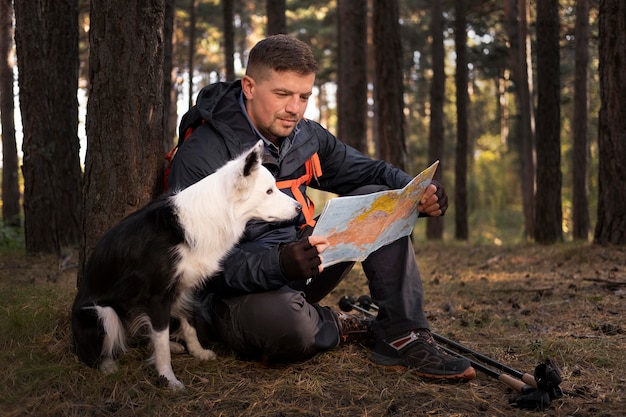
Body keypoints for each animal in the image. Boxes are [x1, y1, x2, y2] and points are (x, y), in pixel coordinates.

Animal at [70, 141, 300, 388]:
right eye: (269, 191)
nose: (299, 208)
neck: (213, 212)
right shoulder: (157, 296)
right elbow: (161, 342)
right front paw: (168, 379)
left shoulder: (184, 286)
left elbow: (188, 323)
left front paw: (197, 352)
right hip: (99, 313)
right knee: (92, 351)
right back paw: (107, 365)